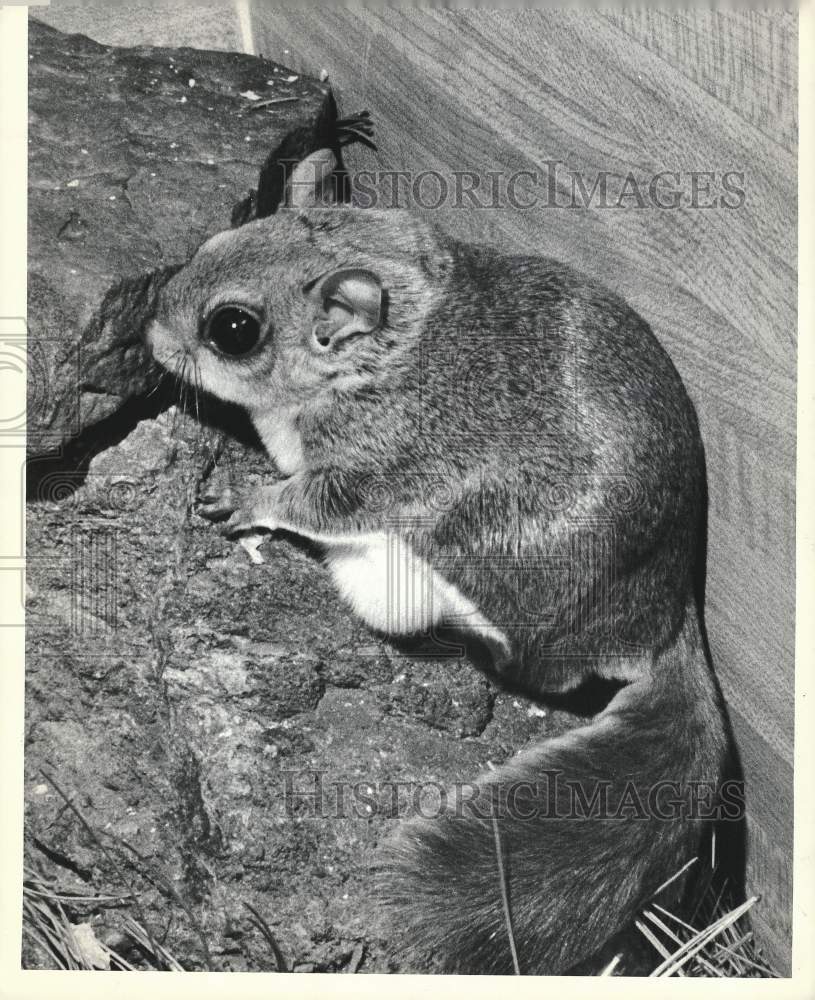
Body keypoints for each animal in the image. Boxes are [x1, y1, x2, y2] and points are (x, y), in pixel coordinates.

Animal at [147, 141, 732, 968]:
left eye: (232, 327)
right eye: (219, 237)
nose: (150, 333)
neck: (381, 359)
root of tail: (663, 615)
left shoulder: (374, 470)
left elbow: (313, 503)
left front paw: (247, 497)